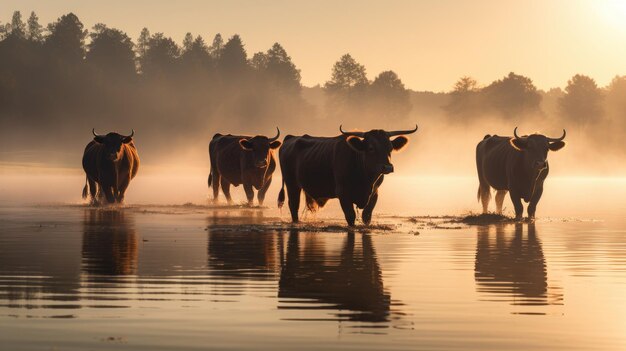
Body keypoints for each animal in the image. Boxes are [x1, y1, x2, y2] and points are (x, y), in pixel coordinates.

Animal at [276, 125, 414, 227]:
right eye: (370, 148)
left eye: (390, 148)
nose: (388, 167)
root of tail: (291, 138)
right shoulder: (343, 194)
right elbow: (350, 216)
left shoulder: (375, 193)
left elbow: (366, 216)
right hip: (292, 184)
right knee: (294, 205)